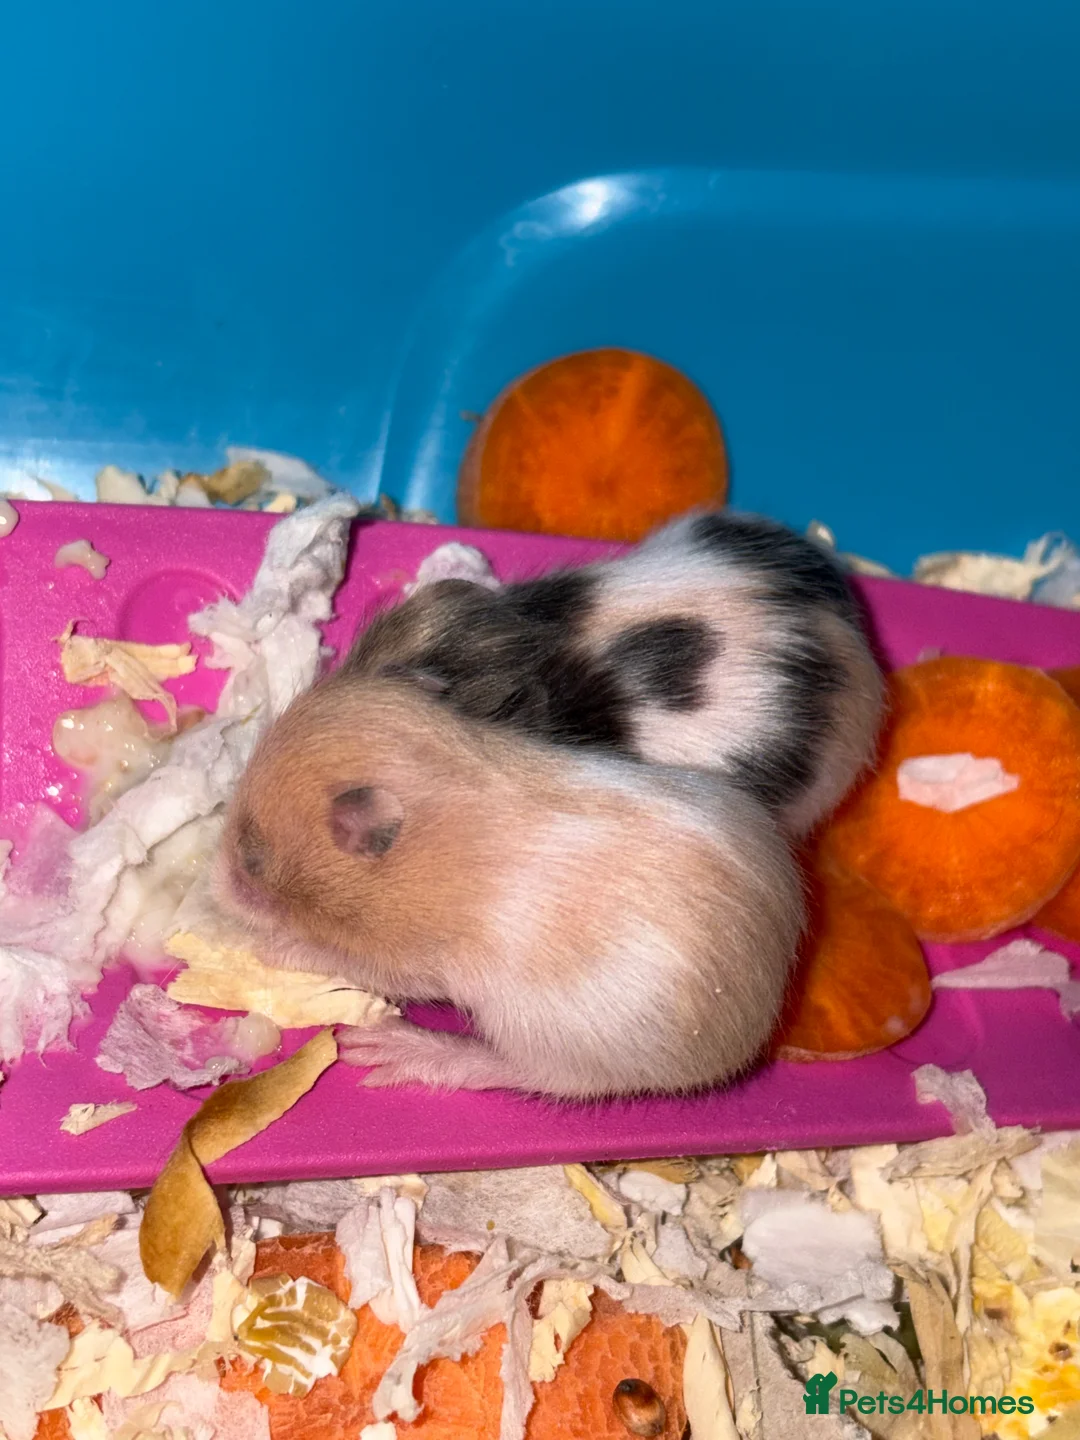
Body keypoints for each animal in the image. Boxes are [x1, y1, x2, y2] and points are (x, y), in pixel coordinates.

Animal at [214, 676, 803, 1100]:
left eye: (252, 859)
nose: (214, 890)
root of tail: (754, 1031)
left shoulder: (410, 963)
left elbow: (335, 957)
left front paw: (263, 945)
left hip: (547, 1038)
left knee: (520, 1072)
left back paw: (391, 1048)